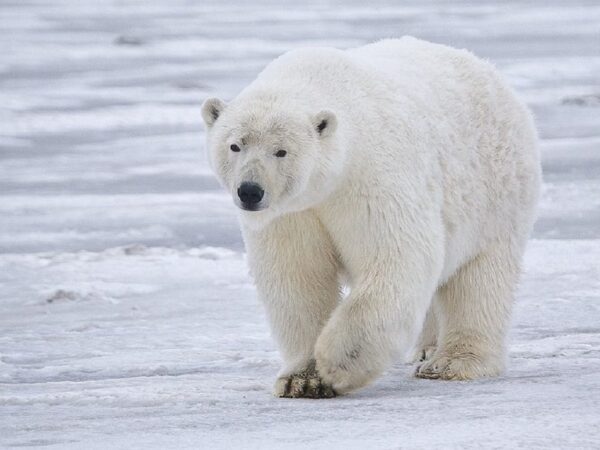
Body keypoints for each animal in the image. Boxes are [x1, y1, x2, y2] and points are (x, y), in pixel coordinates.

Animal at [203, 37, 544, 398]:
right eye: (235, 145)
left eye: (281, 151)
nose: (250, 191)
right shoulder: (292, 213)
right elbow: (297, 277)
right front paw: (302, 379)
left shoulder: (371, 178)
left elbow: (397, 257)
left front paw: (336, 364)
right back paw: (426, 349)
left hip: (496, 194)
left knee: (479, 280)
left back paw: (451, 362)